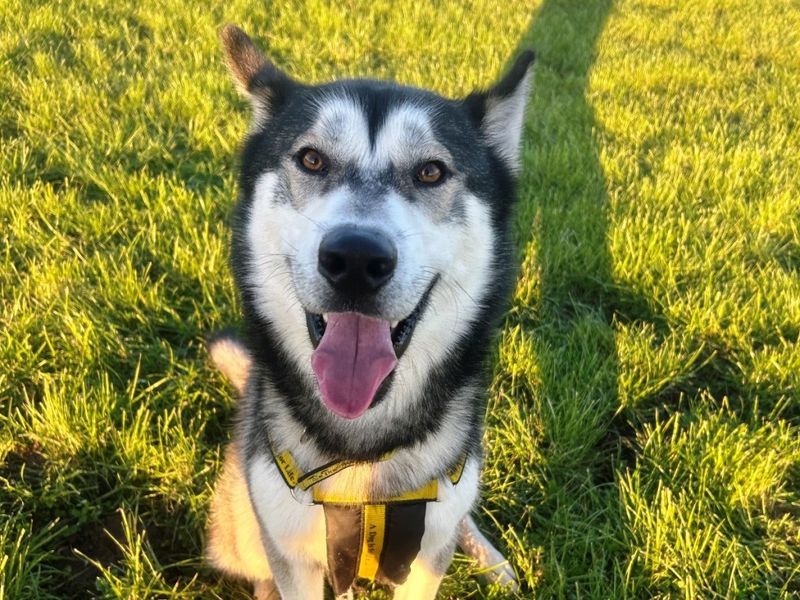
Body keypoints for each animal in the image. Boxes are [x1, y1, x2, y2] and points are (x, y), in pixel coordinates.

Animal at [206, 24, 536, 600]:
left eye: (431, 171)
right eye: (312, 159)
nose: (356, 259)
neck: (365, 455)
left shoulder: (426, 552)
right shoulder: (290, 552)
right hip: (240, 526)